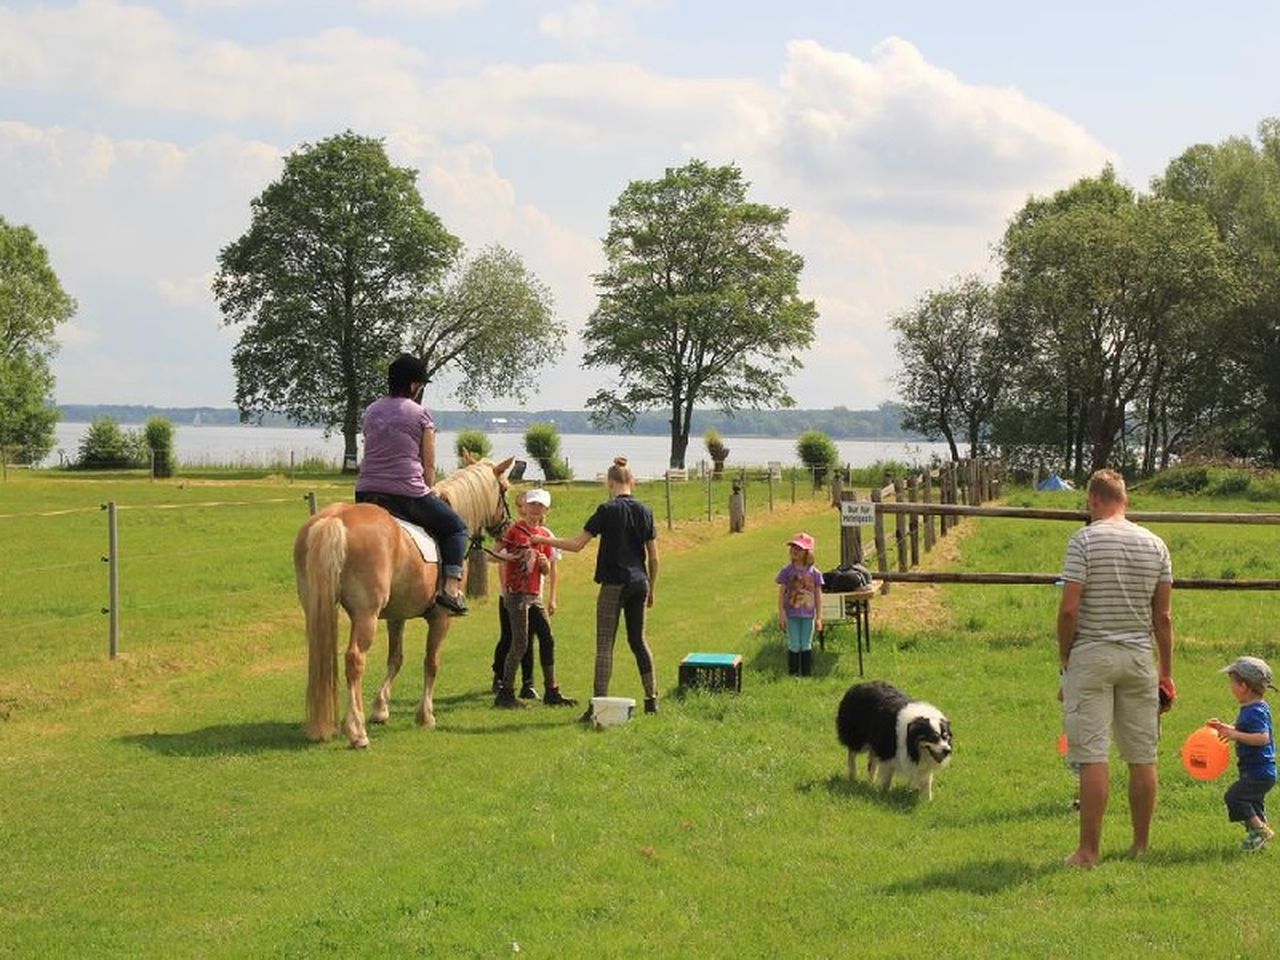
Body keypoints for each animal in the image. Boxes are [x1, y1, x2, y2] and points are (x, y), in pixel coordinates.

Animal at [293, 455, 512, 747]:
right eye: (505, 489)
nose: (506, 527)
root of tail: (335, 519)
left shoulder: (396, 616)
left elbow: (395, 659)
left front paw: (380, 709)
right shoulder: (440, 618)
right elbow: (431, 662)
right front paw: (425, 716)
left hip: (315, 606)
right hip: (366, 614)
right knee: (355, 660)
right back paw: (357, 731)